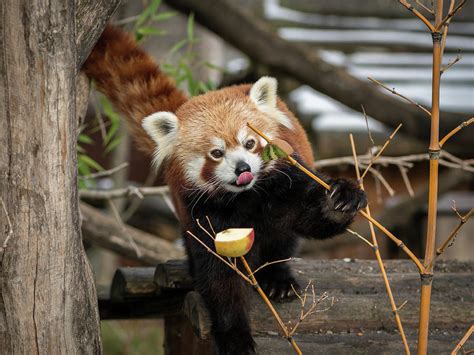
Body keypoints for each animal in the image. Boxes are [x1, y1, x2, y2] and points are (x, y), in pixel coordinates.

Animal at [84, 25, 366, 355]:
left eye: (249, 142)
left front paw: (341, 199)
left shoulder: (286, 182)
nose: (242, 168)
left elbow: (312, 217)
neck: (246, 198)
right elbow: (219, 278)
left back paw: (277, 278)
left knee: (283, 240)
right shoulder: (201, 211)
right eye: (217, 153)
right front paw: (235, 338)